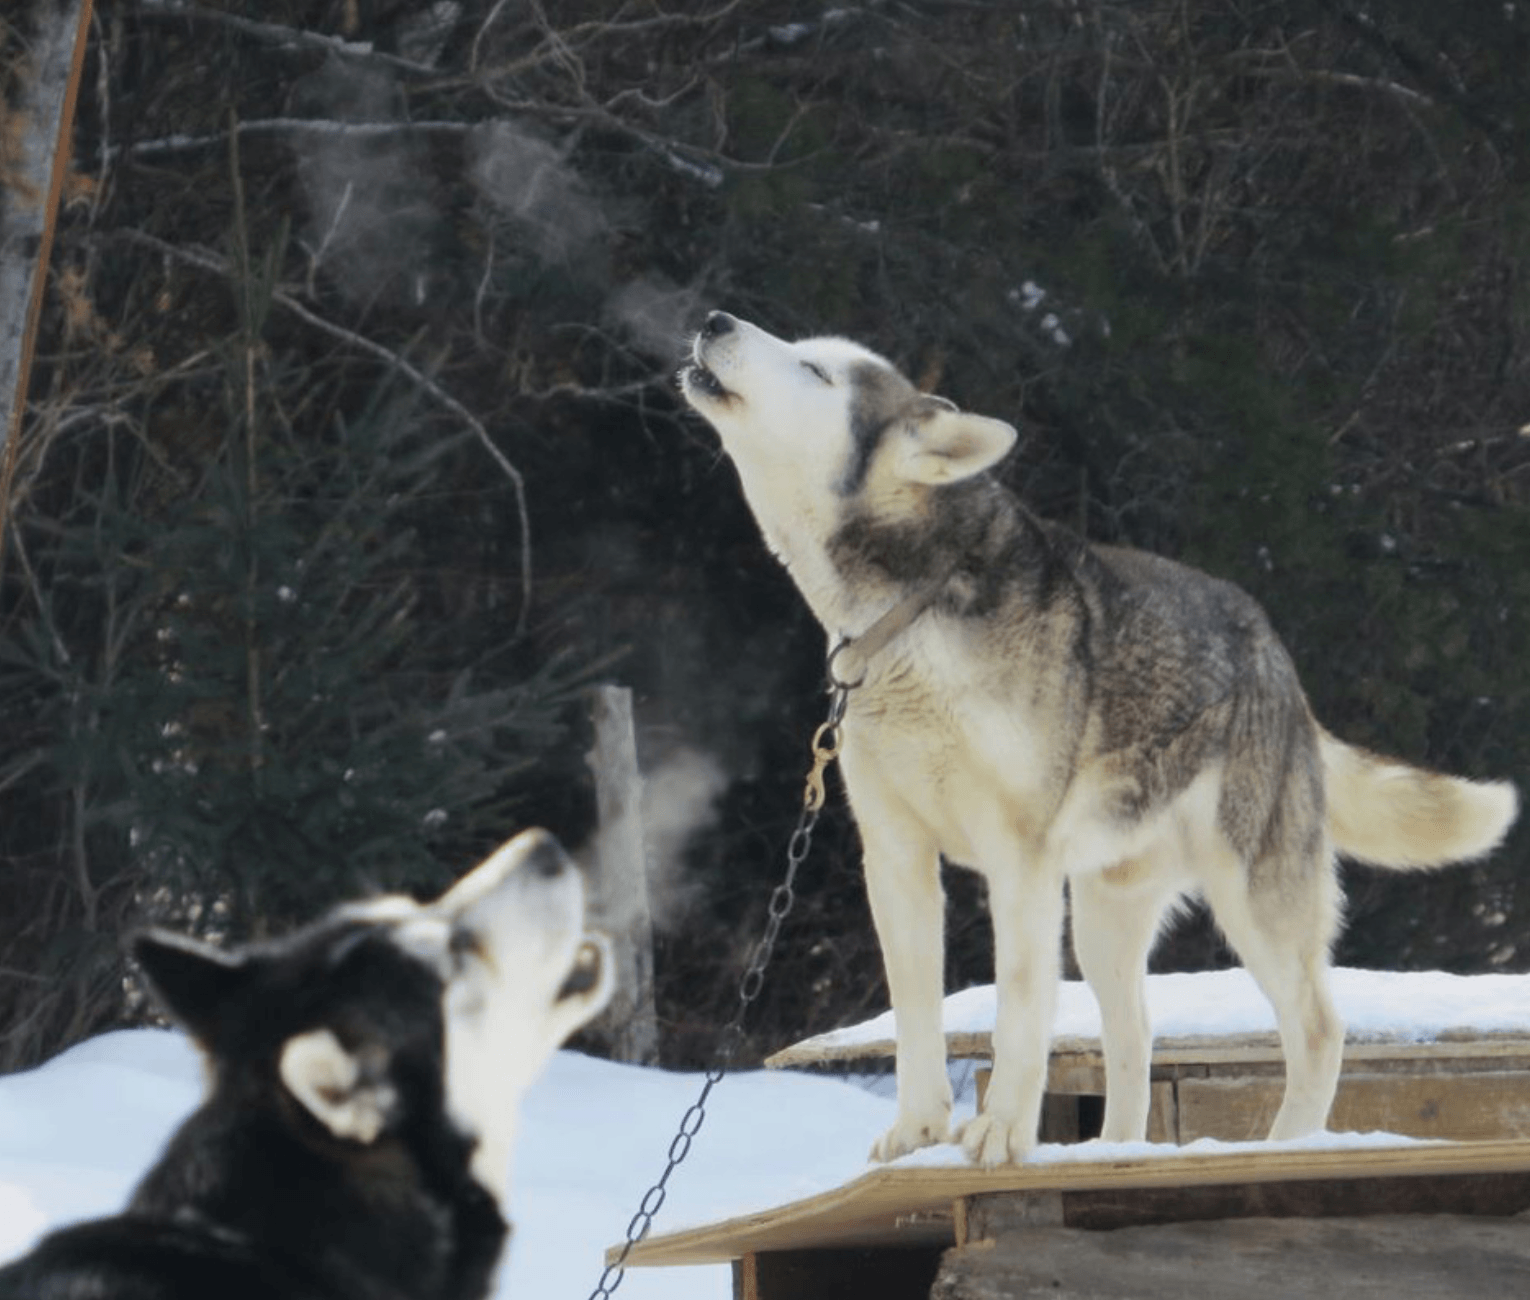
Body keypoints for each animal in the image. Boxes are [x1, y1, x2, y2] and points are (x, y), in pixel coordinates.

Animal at [682, 313, 1517, 1162]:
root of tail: (1279, 661)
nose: (715, 320)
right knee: (1137, 1039)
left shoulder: (1018, 862)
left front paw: (1000, 1133)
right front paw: (919, 1133)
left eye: (815, 371)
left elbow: (1020, 1012)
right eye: (804, 352)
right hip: (1102, 915)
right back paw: (1115, 1151)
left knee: (1318, 1028)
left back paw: (1283, 1148)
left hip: (1250, 897)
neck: (907, 613)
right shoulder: (895, 856)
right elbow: (917, 1015)